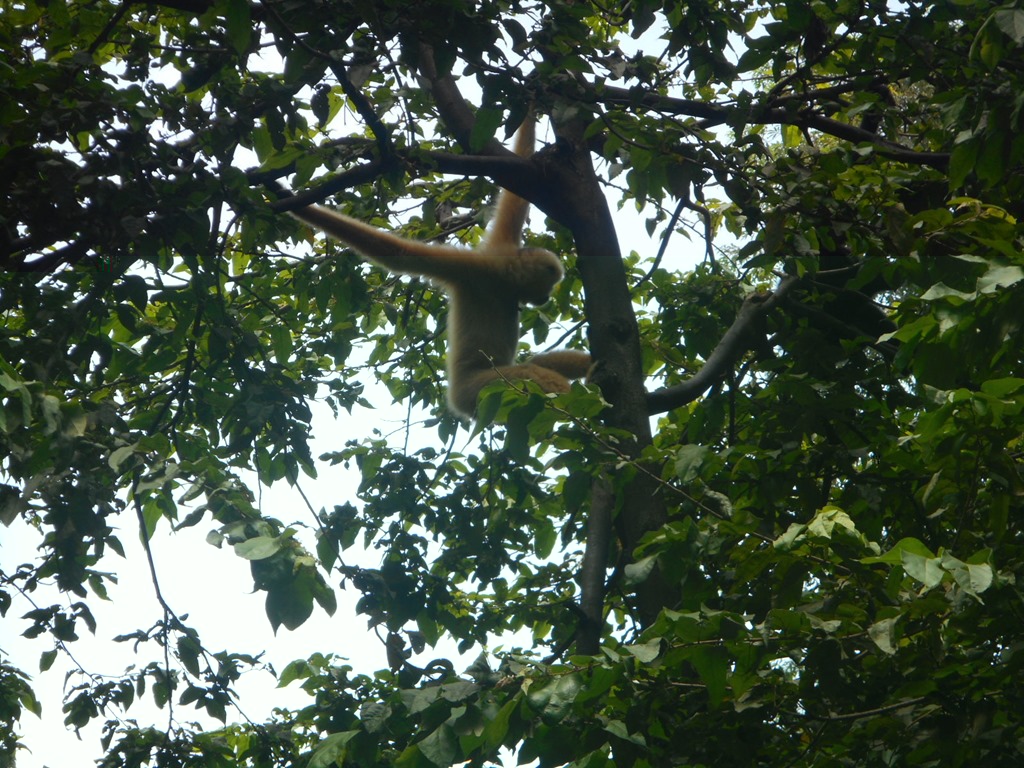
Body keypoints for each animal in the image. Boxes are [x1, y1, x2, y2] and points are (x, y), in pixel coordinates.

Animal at [273, 119, 592, 419]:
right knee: (532, 374)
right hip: (480, 389)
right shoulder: (472, 269)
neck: (503, 276)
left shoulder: (501, 246)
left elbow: (515, 195)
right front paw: (287, 200)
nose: (547, 298)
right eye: (549, 286)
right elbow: (398, 254)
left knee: (535, 364)